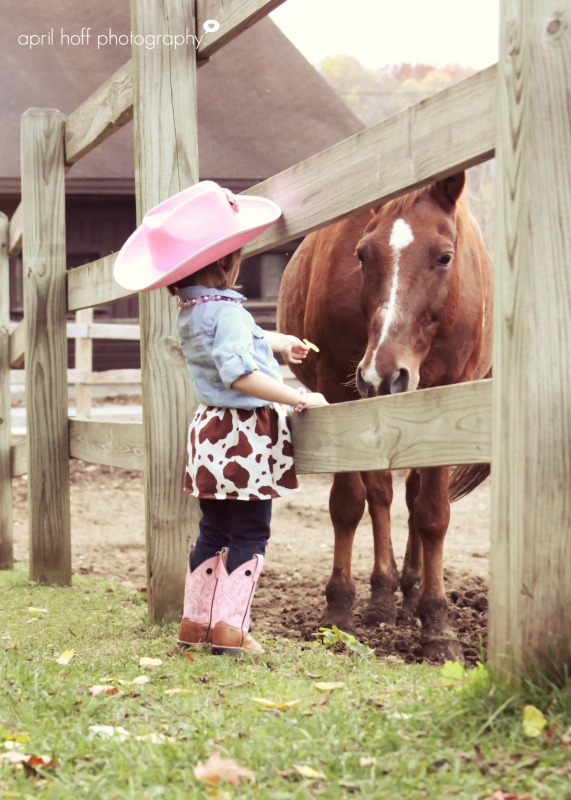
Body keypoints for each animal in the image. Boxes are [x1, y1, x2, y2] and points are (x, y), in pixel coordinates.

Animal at [280, 172, 494, 660]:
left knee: (414, 496)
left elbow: (432, 513)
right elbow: (347, 506)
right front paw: (338, 610)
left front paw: (437, 627)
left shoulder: (445, 399)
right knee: (380, 495)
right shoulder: (339, 394)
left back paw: (412, 592)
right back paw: (382, 595)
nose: (384, 372)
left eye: (445, 256)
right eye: (362, 254)